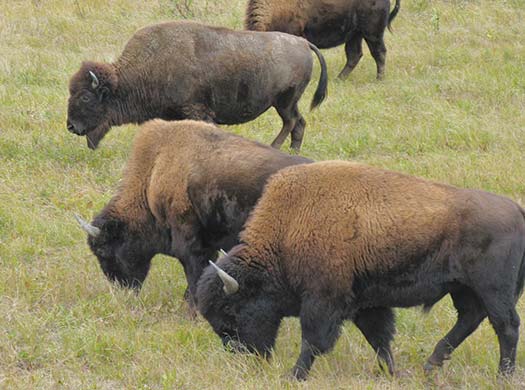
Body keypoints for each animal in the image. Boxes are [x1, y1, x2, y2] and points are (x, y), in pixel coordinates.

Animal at [66, 19, 328, 152]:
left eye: (86, 97)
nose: (70, 126)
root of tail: (303, 43)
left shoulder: (197, 111)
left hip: (284, 101)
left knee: (291, 122)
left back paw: (274, 147)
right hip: (288, 103)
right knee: (299, 122)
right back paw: (294, 151)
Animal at [198, 160, 524, 380]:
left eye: (232, 311)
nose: (241, 355)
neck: (288, 228)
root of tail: (518, 212)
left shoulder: (323, 300)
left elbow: (313, 340)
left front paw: (294, 375)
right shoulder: (364, 304)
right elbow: (379, 338)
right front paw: (390, 372)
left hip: (492, 289)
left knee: (505, 326)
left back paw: (502, 376)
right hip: (464, 289)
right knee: (470, 319)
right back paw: (430, 366)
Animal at [246, 0, 402, 79]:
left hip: (372, 33)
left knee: (379, 53)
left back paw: (379, 78)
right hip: (355, 34)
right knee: (354, 55)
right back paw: (338, 79)